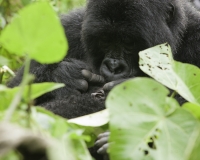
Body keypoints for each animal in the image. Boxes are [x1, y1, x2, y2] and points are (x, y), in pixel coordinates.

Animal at [7, 0, 200, 160]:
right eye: (105, 40)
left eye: (128, 42)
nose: (113, 67)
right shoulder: (69, 28)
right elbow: (12, 92)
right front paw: (64, 77)